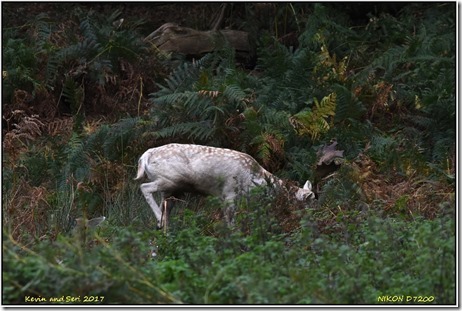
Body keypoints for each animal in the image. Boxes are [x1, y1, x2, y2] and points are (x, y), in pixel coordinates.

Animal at [134, 144, 314, 229]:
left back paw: (161, 226)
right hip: (170, 180)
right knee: (144, 187)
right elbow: (230, 222)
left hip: (171, 190)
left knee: (164, 207)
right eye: (306, 203)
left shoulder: (223, 197)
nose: (309, 221)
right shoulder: (229, 192)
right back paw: (159, 219)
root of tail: (144, 157)